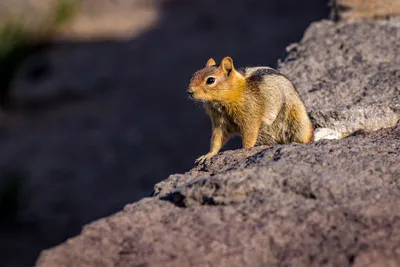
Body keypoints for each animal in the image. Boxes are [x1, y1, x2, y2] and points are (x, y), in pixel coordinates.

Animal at [188, 57, 316, 163]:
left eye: (210, 80)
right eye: (194, 75)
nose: (189, 91)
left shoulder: (250, 117)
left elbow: (249, 136)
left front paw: (245, 151)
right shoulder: (220, 122)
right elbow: (216, 139)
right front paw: (208, 155)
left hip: (298, 123)